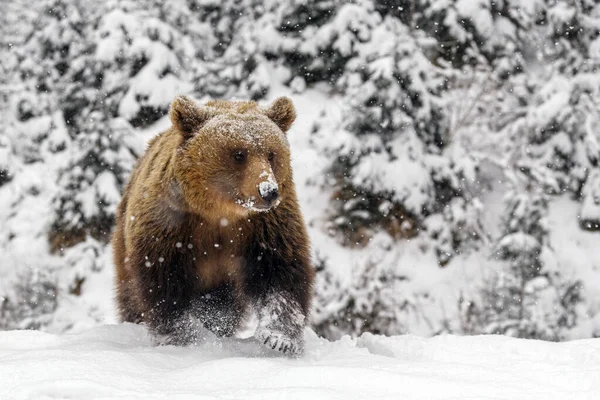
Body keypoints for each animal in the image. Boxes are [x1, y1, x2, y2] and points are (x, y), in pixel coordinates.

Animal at [111, 95, 314, 354]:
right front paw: (182, 337)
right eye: (239, 154)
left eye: (271, 153)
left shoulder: (266, 225)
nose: (268, 191)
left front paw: (280, 338)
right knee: (130, 295)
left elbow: (280, 271)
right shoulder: (171, 223)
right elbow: (165, 282)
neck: (220, 213)